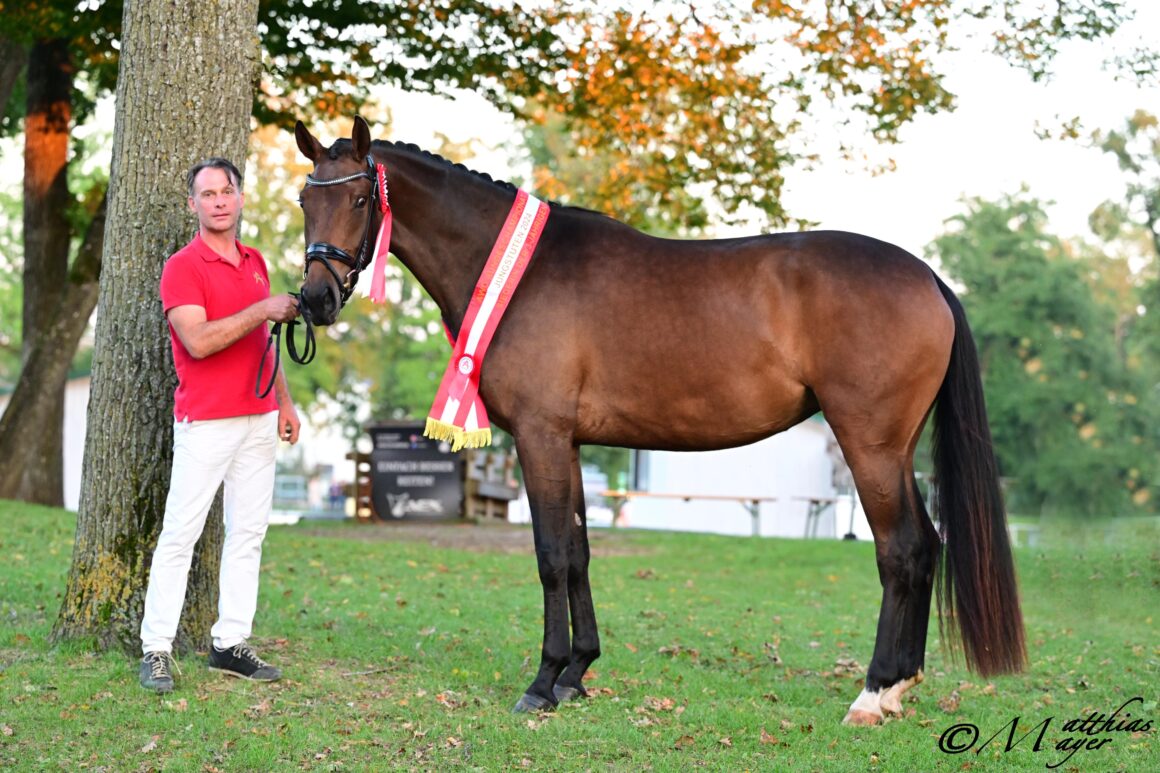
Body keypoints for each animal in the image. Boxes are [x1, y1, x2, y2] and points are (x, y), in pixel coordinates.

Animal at [290, 116, 1025, 724]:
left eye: (360, 200)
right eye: (305, 200)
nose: (315, 299)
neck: (519, 272)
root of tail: (927, 276)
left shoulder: (540, 435)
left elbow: (551, 556)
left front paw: (542, 681)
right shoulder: (570, 442)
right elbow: (579, 552)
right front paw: (577, 674)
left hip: (868, 444)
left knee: (902, 550)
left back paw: (873, 693)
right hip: (895, 449)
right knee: (926, 546)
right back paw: (901, 686)